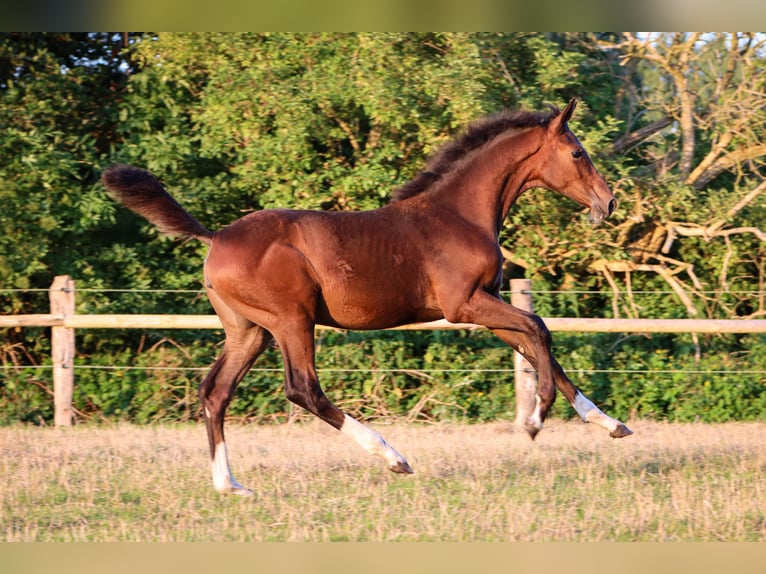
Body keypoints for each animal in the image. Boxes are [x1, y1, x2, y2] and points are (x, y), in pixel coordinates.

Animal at [103, 98, 632, 496]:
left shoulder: (484, 304)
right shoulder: (464, 304)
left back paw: (229, 485)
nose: (608, 203)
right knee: (303, 389)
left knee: (215, 392)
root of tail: (214, 237)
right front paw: (537, 419)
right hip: (292, 320)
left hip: (249, 331)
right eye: (578, 153)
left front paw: (610, 424)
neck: (457, 214)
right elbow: (539, 331)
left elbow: (539, 345)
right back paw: (394, 457)